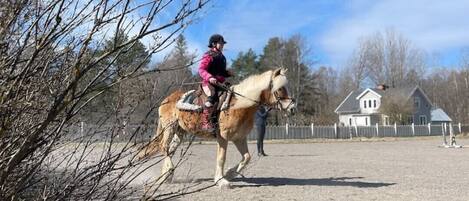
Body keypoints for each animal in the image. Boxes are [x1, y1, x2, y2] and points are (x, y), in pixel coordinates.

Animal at [137, 68, 294, 188]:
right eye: (280, 89)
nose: (292, 108)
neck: (239, 105)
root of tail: (167, 99)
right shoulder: (223, 138)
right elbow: (221, 158)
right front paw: (221, 180)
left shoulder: (239, 138)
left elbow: (246, 158)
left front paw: (229, 174)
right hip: (169, 128)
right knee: (164, 147)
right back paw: (168, 171)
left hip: (180, 132)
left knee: (170, 149)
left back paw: (166, 177)